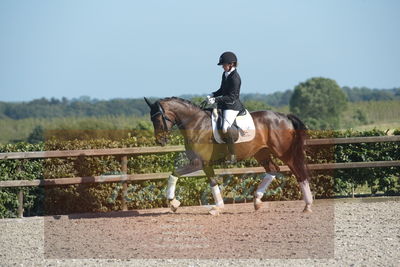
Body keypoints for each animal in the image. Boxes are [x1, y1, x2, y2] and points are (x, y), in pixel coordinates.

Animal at [143, 96, 312, 216]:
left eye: (158, 118)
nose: (160, 141)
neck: (196, 124)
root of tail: (284, 116)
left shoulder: (198, 162)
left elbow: (174, 174)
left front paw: (173, 203)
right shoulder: (206, 164)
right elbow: (213, 183)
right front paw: (217, 208)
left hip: (284, 152)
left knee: (298, 172)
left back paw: (308, 205)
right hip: (261, 153)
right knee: (273, 169)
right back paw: (257, 201)